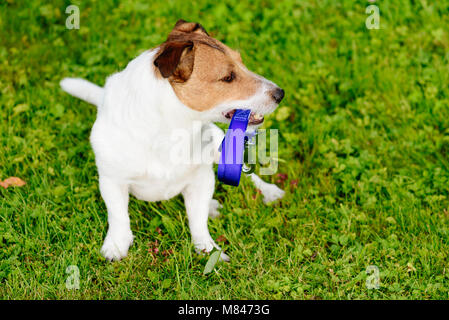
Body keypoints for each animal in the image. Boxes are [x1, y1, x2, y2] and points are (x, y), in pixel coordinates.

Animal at [60, 18, 284, 262]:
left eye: (241, 62)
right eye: (228, 77)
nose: (280, 93)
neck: (173, 129)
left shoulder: (201, 177)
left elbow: (198, 222)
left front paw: (209, 251)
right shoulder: (112, 181)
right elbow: (118, 216)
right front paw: (117, 246)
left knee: (247, 174)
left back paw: (267, 192)